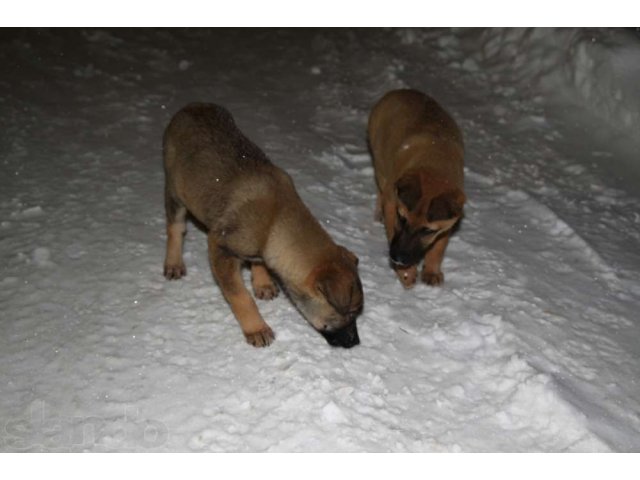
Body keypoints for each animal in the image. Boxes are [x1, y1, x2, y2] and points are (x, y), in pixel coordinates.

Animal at [162, 103, 362, 346]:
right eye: (349, 313)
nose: (355, 342)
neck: (276, 219)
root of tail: (190, 106)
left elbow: (259, 262)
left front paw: (263, 283)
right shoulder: (220, 246)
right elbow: (240, 296)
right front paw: (256, 328)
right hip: (175, 192)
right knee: (176, 227)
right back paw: (173, 263)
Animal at [370, 89, 464, 288]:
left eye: (428, 231)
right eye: (402, 219)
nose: (397, 258)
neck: (435, 163)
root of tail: (398, 91)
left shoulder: (448, 224)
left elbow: (438, 247)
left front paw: (431, 271)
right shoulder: (392, 204)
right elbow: (392, 230)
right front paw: (406, 273)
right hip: (380, 163)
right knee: (381, 189)